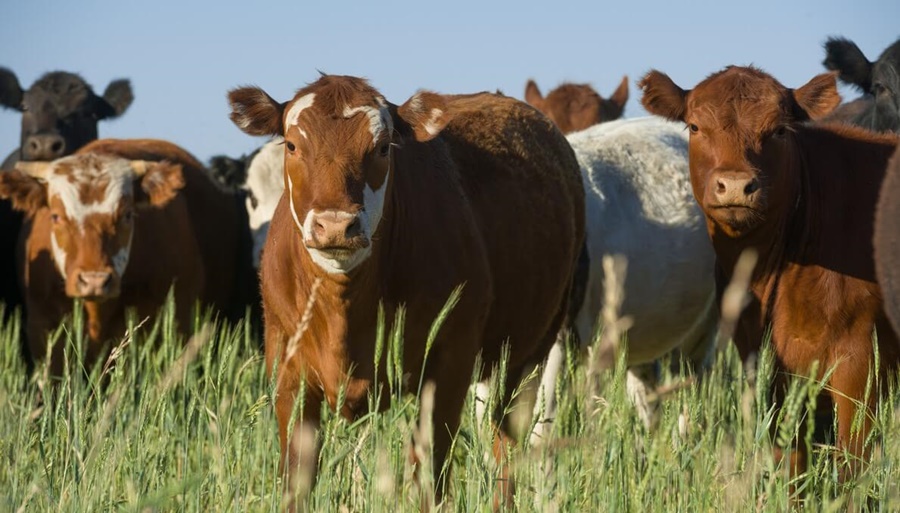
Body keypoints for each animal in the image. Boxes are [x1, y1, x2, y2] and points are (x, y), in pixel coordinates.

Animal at [227, 74, 585, 503]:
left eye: (382, 148)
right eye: (293, 145)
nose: (335, 225)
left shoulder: (448, 365)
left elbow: (429, 476)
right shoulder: (288, 370)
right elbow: (297, 480)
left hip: (528, 358)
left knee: (507, 452)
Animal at [640, 65, 900, 480]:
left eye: (779, 130)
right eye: (695, 126)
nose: (734, 185)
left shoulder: (860, 364)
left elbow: (851, 466)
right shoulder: (768, 365)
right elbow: (790, 461)